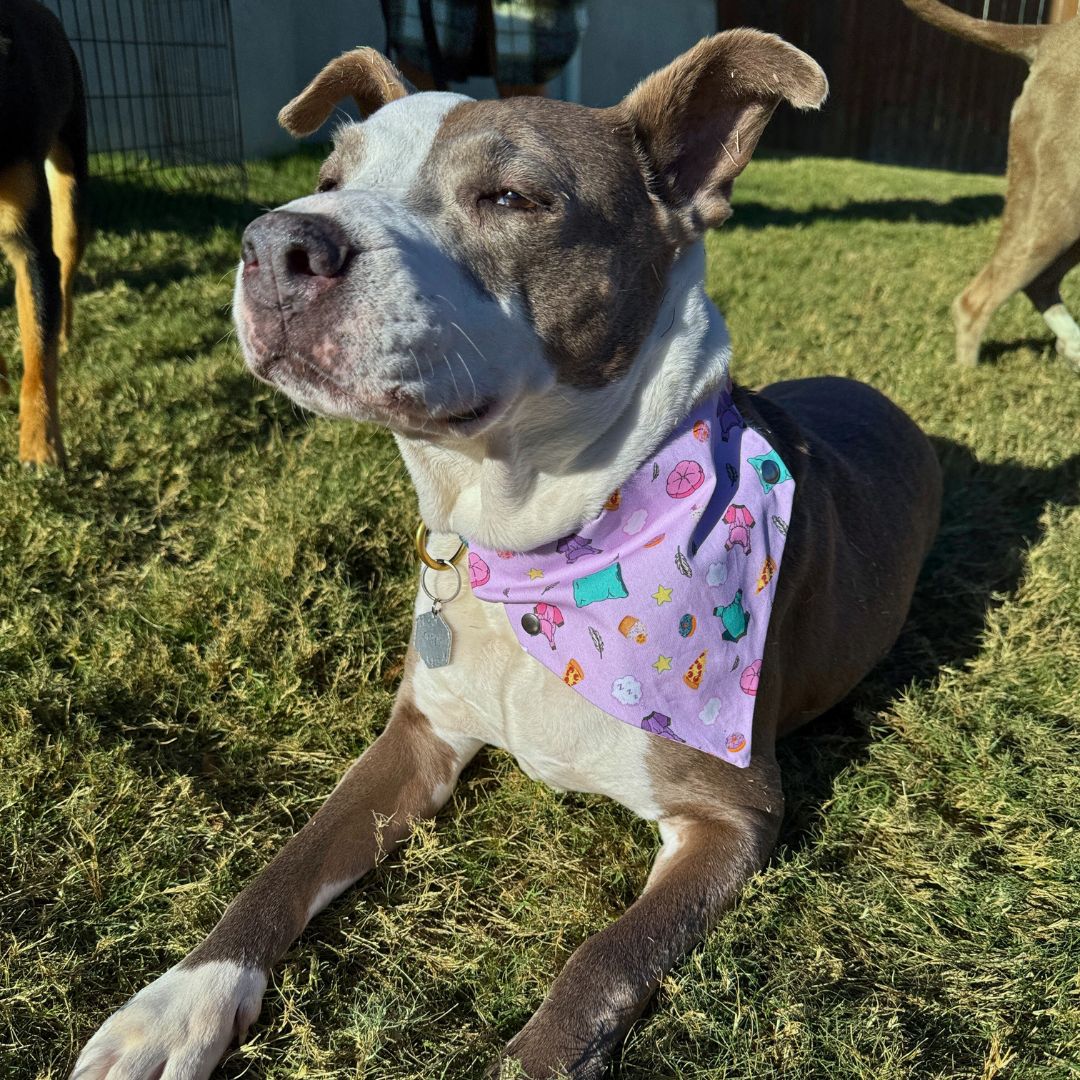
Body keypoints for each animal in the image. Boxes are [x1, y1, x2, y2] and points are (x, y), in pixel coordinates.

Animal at [71, 31, 941, 1080]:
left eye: (512, 198)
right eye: (327, 178)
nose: (277, 246)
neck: (529, 549)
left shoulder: (731, 817)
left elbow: (599, 964)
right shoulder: (419, 735)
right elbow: (287, 861)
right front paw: (175, 1004)